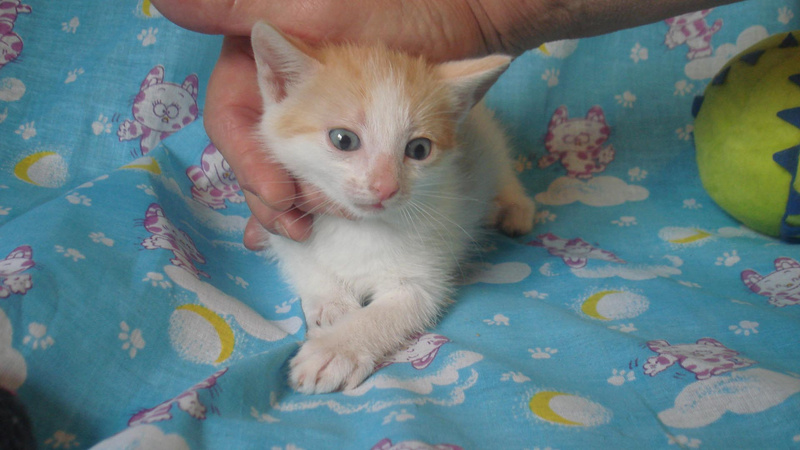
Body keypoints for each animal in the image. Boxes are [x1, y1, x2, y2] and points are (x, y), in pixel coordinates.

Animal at [251, 22, 535, 394]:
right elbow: (301, 259)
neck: (358, 226)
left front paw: (335, 349)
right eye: (343, 139)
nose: (385, 186)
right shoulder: (278, 213)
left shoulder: (425, 275)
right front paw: (332, 304)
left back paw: (516, 209)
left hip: (491, 145)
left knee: (504, 172)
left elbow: (393, 310)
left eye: (419, 149)